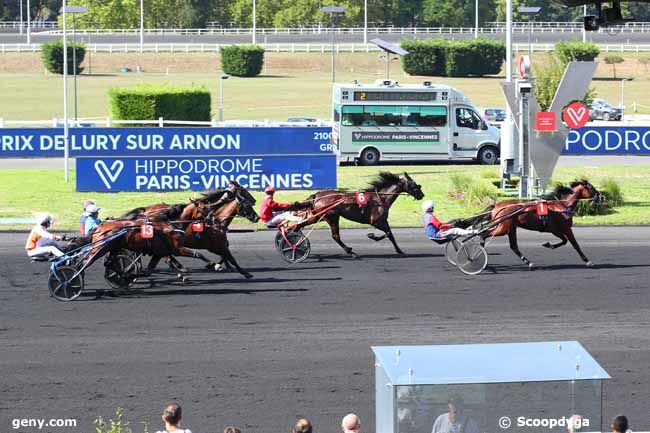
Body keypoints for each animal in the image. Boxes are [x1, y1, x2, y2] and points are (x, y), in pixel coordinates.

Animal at [290, 170, 422, 255]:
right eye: (413, 184)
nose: (422, 194)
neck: (381, 198)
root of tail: (317, 196)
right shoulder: (376, 221)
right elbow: (389, 233)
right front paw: (373, 236)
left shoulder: (384, 220)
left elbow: (390, 234)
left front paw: (399, 250)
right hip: (332, 217)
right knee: (335, 236)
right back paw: (350, 251)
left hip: (320, 217)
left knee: (300, 224)